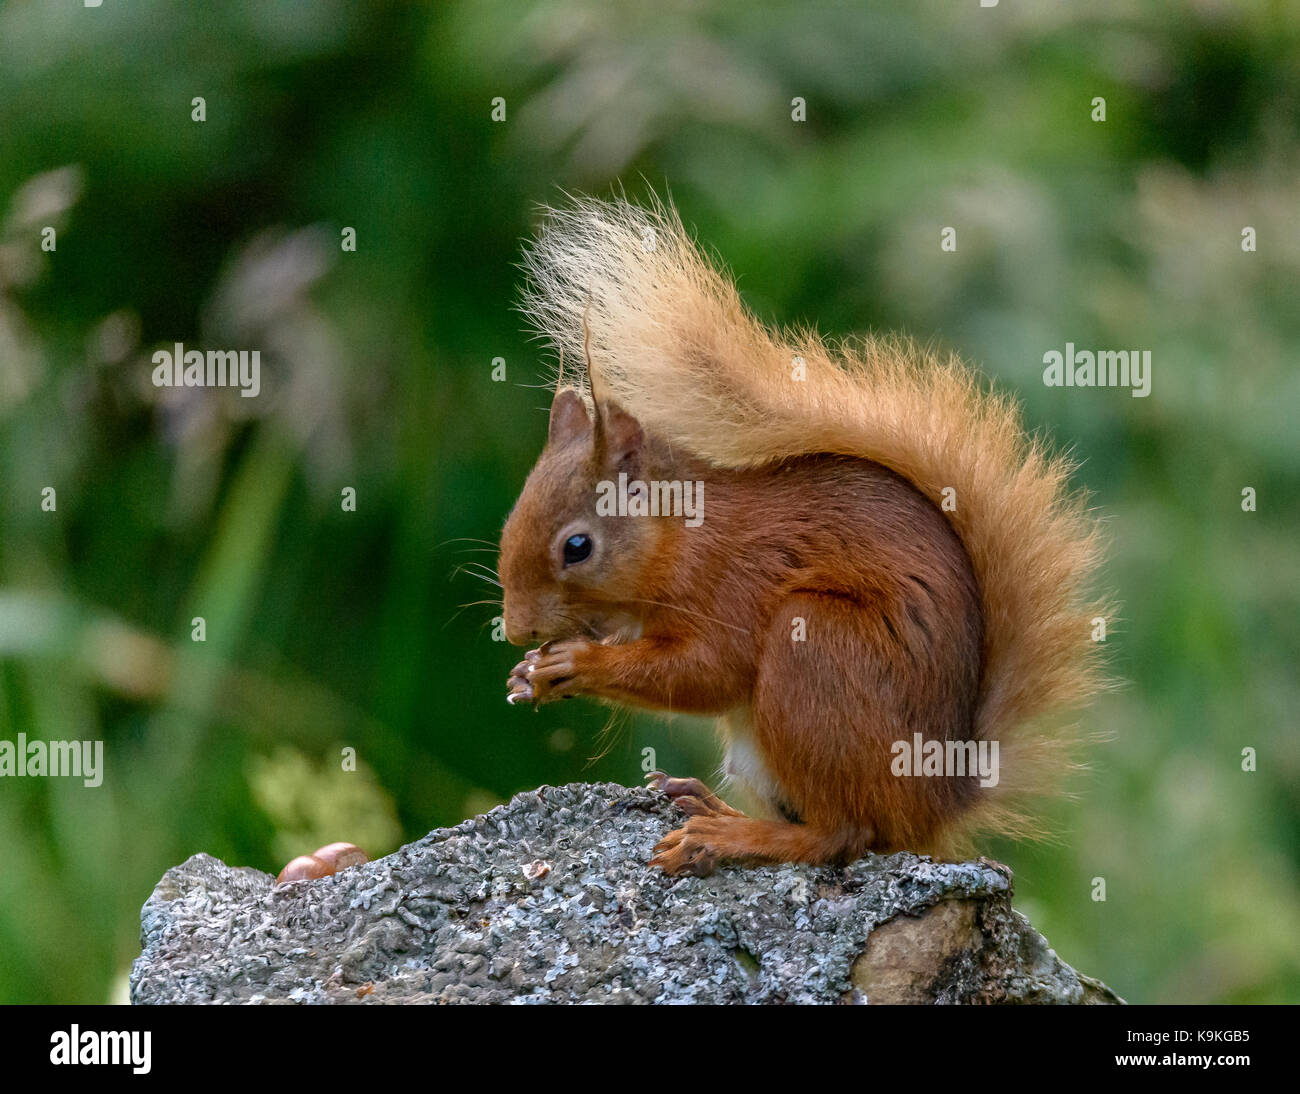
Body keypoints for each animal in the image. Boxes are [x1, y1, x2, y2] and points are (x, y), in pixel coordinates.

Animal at [496, 198, 1107, 878]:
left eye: (577, 548)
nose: (517, 628)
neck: (681, 536)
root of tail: (934, 801)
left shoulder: (735, 581)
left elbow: (708, 671)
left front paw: (575, 664)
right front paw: (527, 675)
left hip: (815, 649)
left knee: (843, 834)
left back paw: (727, 835)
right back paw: (709, 803)